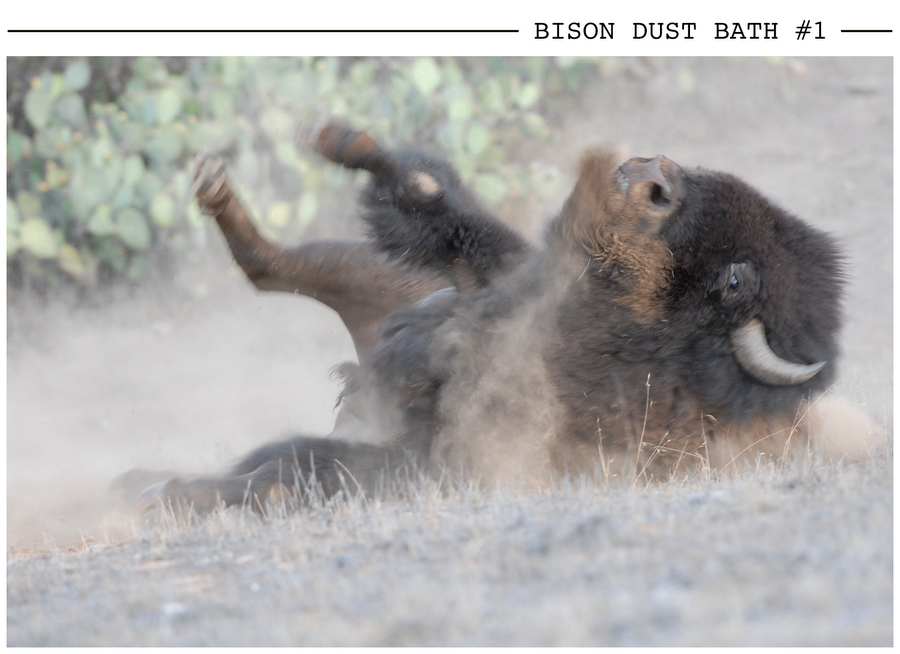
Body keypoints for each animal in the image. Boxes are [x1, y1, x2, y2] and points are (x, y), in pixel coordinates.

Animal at [132, 119, 863, 513]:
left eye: (735, 281)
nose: (652, 174)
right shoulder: (504, 273)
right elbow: (445, 213)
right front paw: (347, 142)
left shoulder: (436, 459)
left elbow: (305, 469)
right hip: (374, 278)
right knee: (269, 269)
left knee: (286, 453)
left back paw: (157, 489)